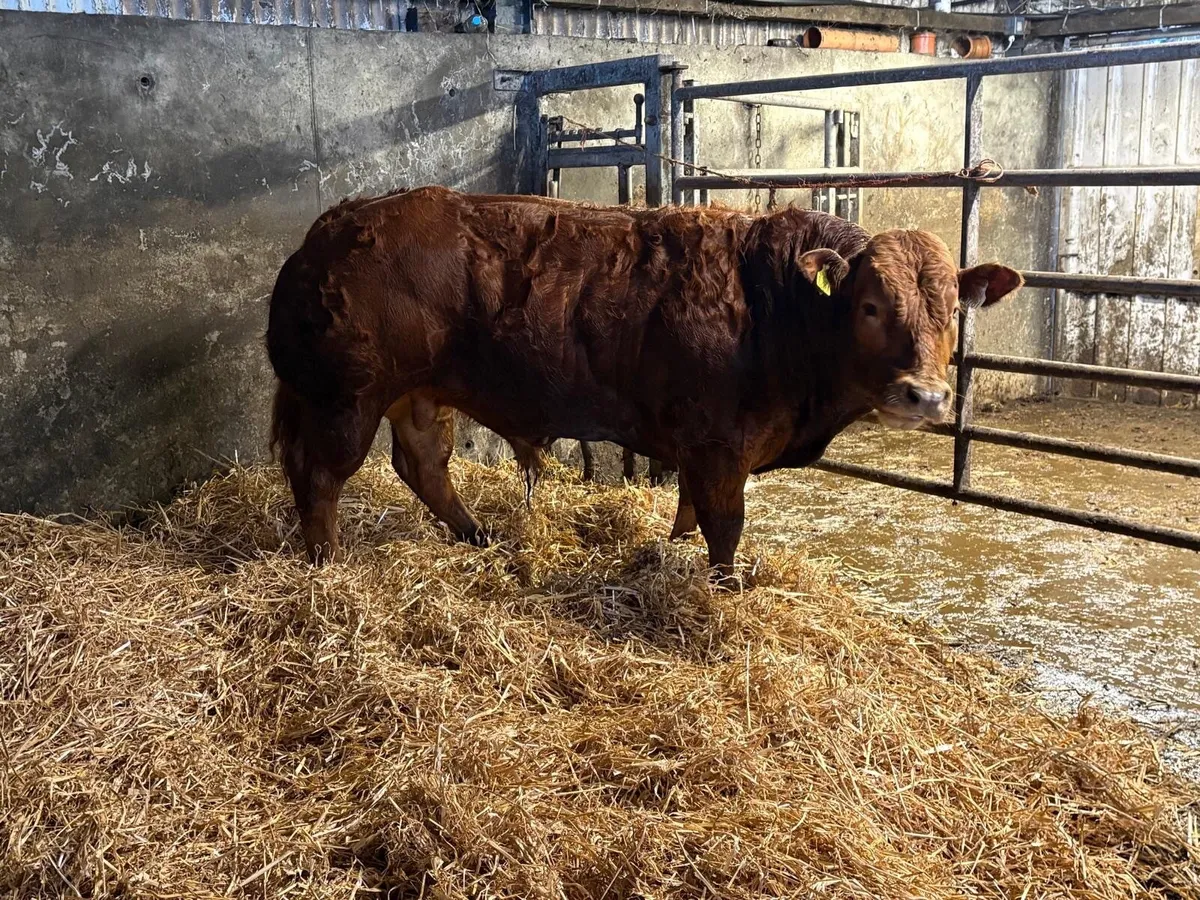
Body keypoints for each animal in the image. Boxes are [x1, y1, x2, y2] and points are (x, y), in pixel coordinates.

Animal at [267, 186, 1021, 578]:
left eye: (952, 309)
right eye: (869, 305)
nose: (925, 395)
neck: (776, 305)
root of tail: (331, 227)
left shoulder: (700, 446)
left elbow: (689, 511)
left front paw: (675, 550)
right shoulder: (719, 446)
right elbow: (724, 524)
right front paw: (725, 587)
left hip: (417, 393)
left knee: (422, 464)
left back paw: (478, 536)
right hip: (345, 398)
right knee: (319, 474)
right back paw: (326, 562)